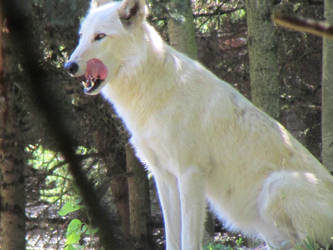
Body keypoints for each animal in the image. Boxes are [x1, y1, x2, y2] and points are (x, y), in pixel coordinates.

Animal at [64, 0, 332, 248]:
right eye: (82, 36)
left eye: (100, 36)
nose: (69, 66)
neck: (153, 95)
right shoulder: (163, 177)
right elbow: (172, 238)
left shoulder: (190, 174)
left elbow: (188, 239)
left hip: (277, 186)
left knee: (309, 244)